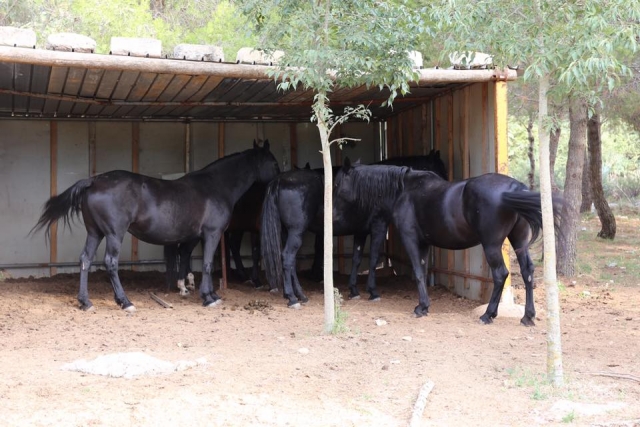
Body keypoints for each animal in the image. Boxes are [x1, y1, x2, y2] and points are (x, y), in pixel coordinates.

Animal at [31, 140, 280, 311]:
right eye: (274, 162)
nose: (280, 180)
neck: (215, 186)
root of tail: (94, 181)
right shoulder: (212, 234)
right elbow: (208, 264)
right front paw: (208, 297)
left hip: (95, 233)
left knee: (85, 260)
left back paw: (86, 302)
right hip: (113, 234)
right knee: (110, 262)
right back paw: (125, 302)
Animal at [260, 150, 448, 308]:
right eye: (438, 168)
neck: (376, 189)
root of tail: (279, 180)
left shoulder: (361, 231)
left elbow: (356, 259)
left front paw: (354, 290)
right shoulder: (379, 227)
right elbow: (373, 258)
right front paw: (373, 292)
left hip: (287, 233)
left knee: (289, 262)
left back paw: (299, 295)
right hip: (296, 232)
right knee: (288, 258)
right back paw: (293, 298)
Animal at [333, 161, 563, 325]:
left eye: (337, 184)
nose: (333, 216)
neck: (405, 190)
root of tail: (515, 187)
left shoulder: (410, 239)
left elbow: (417, 272)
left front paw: (421, 308)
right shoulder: (424, 244)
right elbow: (423, 272)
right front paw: (424, 305)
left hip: (491, 245)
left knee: (500, 274)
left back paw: (488, 315)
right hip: (519, 241)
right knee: (527, 272)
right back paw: (527, 317)